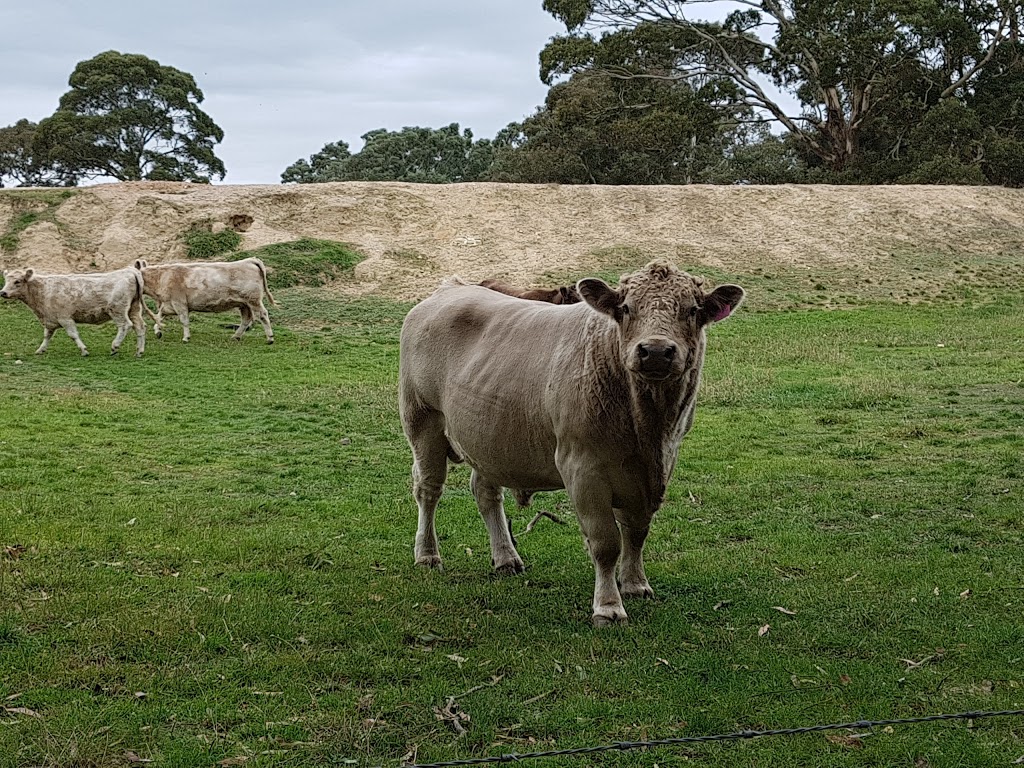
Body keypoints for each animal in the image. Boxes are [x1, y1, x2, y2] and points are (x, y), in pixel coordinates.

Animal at [0, 268, 148, 358]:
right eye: (6, 280)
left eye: (17, 281)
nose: (3, 292)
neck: (43, 290)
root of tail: (129, 270)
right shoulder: (50, 319)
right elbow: (47, 336)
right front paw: (40, 349)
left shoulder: (65, 318)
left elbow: (73, 335)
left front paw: (83, 350)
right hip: (134, 309)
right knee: (140, 326)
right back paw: (139, 351)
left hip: (118, 310)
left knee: (125, 326)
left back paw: (115, 346)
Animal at [132, 259, 278, 342]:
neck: (162, 277)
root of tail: (250, 260)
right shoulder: (169, 304)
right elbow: (159, 316)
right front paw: (158, 331)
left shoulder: (180, 303)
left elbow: (184, 320)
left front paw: (186, 337)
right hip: (244, 304)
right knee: (246, 320)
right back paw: (235, 337)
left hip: (253, 300)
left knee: (263, 315)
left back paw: (270, 338)